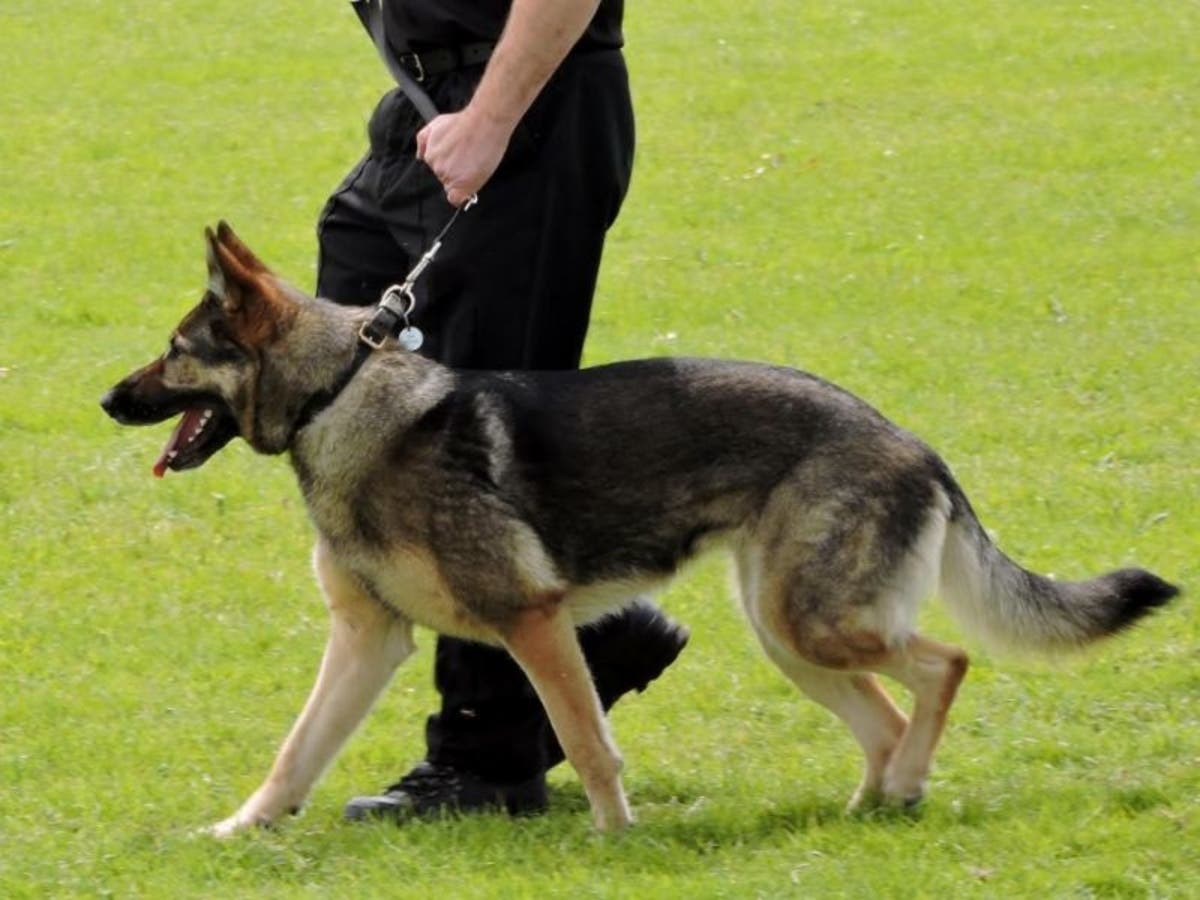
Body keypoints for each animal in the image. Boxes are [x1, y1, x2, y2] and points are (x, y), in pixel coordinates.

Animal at [100, 223, 1179, 834]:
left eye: (176, 350)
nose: (105, 400)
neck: (341, 399)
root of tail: (914, 443)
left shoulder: (532, 624)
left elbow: (586, 741)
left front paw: (614, 839)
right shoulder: (369, 642)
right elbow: (295, 752)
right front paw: (238, 833)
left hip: (810, 625)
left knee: (944, 666)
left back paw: (904, 786)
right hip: (789, 637)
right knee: (889, 711)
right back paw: (876, 809)